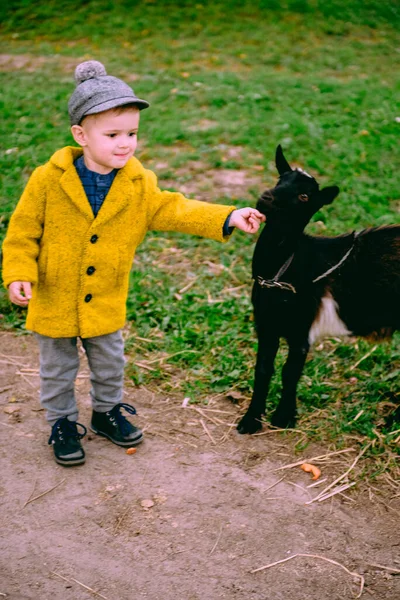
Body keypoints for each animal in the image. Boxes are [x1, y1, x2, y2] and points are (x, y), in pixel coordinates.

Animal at [238, 146, 400, 436]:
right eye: (280, 179)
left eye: (304, 196)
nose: (266, 198)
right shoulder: (266, 325)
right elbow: (263, 369)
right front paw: (251, 419)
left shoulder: (301, 329)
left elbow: (290, 371)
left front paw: (284, 417)